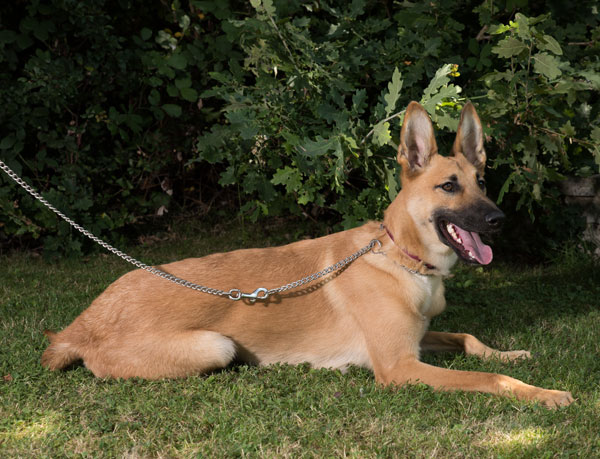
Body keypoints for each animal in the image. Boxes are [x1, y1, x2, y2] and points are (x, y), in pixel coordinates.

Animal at [42, 101, 572, 410]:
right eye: (449, 186)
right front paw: (545, 393)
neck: (401, 259)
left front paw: (511, 351)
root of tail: (79, 327)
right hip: (216, 345)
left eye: (481, 181)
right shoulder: (400, 368)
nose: (500, 220)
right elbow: (491, 378)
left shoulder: (419, 341)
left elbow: (469, 340)